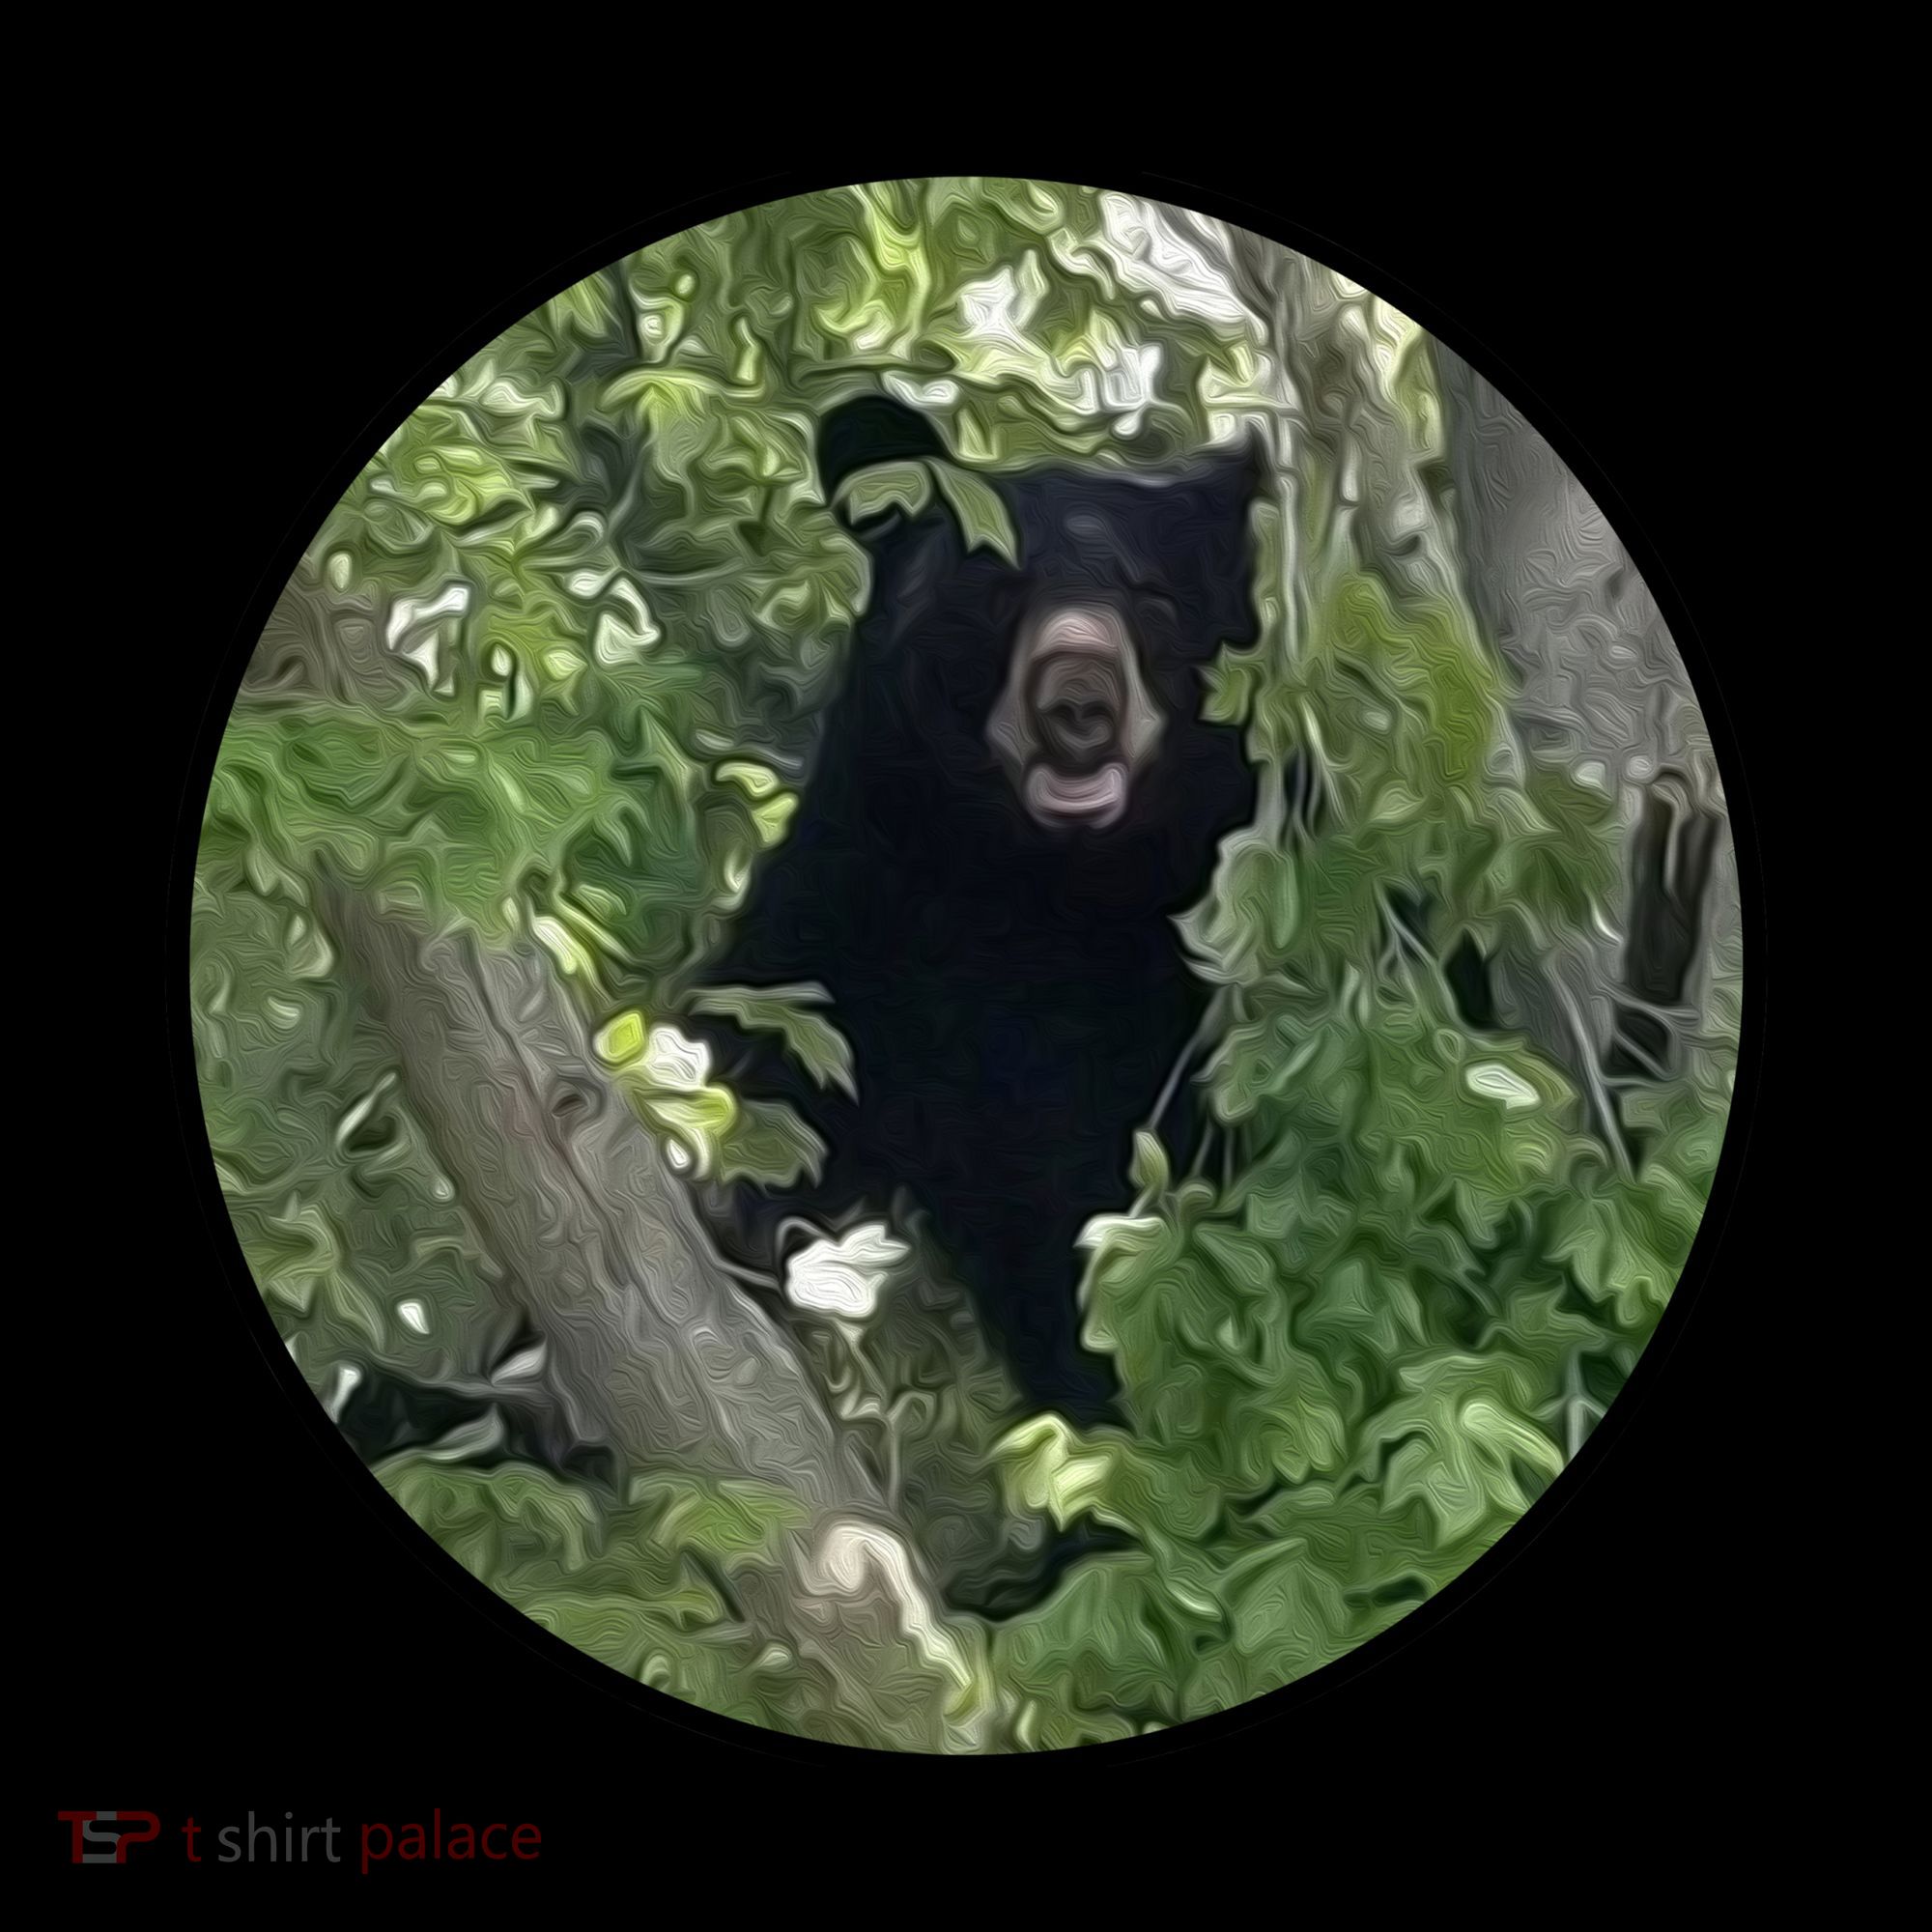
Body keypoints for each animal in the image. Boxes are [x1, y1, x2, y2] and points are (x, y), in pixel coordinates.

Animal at [689, 394, 1262, 1423]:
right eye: (1000, 591)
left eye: (1153, 599)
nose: (1080, 698)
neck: (1039, 888)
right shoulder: (862, 921)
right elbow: (768, 1057)